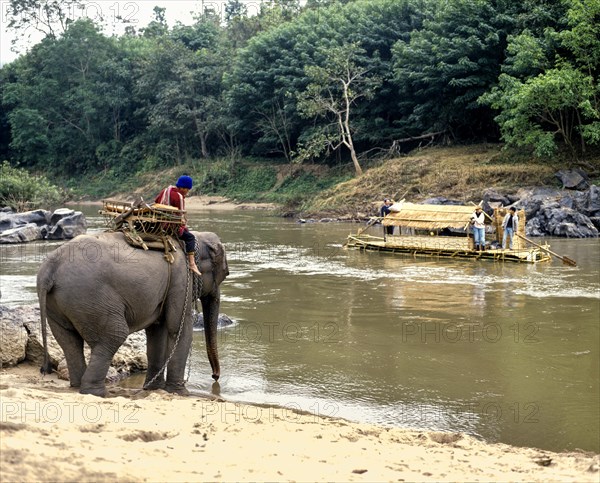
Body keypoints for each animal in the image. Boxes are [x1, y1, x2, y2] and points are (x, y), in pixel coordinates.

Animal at [35, 231, 227, 398]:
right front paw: (180, 393)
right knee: (114, 335)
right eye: (225, 273)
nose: (215, 377)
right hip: (91, 299)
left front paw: (153, 389)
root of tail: (49, 268)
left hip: (60, 304)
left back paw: (77, 386)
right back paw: (97, 393)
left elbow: (157, 332)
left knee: (69, 341)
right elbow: (177, 328)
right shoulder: (181, 279)